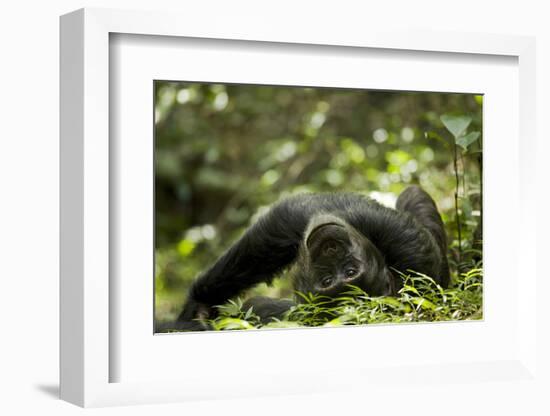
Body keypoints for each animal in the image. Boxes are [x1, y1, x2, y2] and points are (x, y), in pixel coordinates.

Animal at [168, 185, 448, 332]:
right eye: (327, 280)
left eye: (350, 271)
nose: (330, 249)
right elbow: (281, 226)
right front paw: (198, 308)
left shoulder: (407, 248)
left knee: (413, 194)